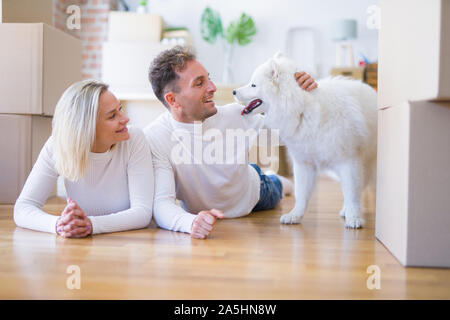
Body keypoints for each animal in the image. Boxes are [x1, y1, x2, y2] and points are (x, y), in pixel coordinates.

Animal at [234, 52, 378, 228]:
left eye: (253, 85)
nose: (233, 91)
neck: (302, 109)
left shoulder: (348, 161)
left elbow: (351, 192)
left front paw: (354, 217)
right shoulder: (304, 162)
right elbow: (301, 193)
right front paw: (295, 215)